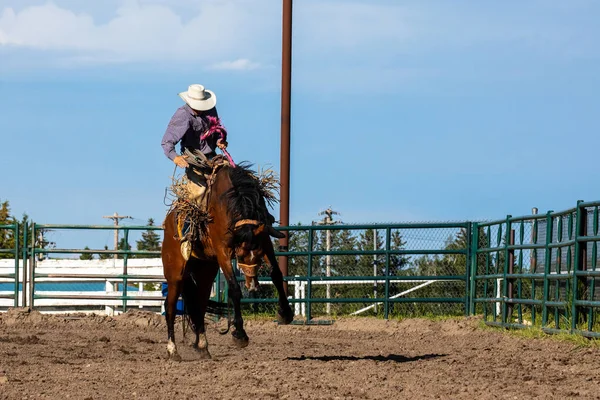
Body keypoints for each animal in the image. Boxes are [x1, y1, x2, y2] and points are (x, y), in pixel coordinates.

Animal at [161, 158, 294, 360]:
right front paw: (239, 334)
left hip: (205, 272)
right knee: (170, 306)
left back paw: (203, 346)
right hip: (175, 273)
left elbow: (277, 274)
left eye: (258, 255)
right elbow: (234, 289)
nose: (253, 286)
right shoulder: (222, 251)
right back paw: (172, 350)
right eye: (240, 255)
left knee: (199, 305)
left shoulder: (264, 241)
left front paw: (285, 313)